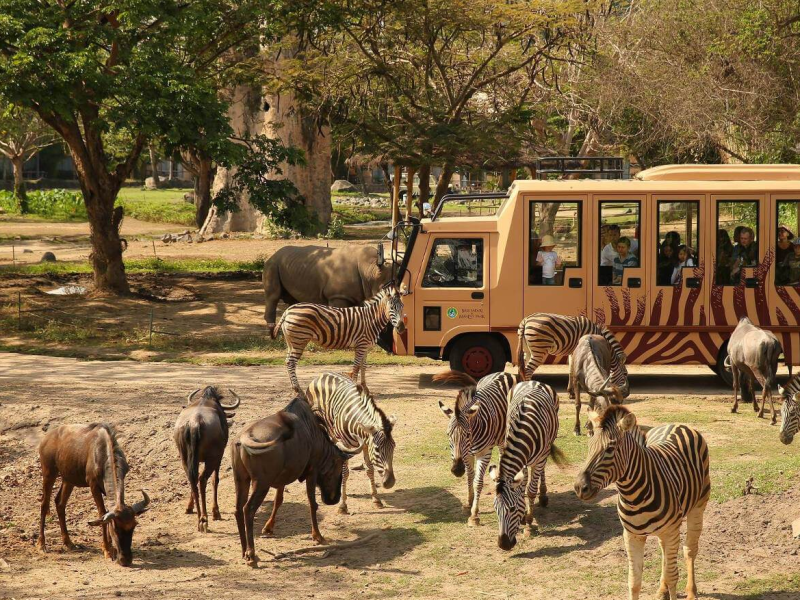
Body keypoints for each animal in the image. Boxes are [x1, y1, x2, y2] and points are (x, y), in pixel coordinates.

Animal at [273, 283, 405, 394]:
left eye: (402, 306)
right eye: (392, 308)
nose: (401, 327)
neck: (371, 319)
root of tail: (288, 310)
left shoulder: (365, 347)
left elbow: (363, 367)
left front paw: (365, 388)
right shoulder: (361, 344)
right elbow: (356, 367)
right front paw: (356, 389)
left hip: (291, 342)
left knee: (287, 361)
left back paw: (295, 388)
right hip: (299, 340)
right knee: (291, 362)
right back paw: (297, 390)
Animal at [434, 369, 515, 526]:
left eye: (467, 435)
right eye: (448, 435)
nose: (457, 470)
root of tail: (503, 372)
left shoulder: (484, 452)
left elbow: (478, 481)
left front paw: (474, 515)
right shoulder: (467, 454)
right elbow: (470, 476)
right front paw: (468, 503)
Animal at [488, 380, 562, 550]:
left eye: (512, 509)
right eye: (495, 509)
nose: (503, 545)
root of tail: (533, 381)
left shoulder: (540, 459)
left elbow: (531, 490)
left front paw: (528, 524)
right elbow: (522, 487)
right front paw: (524, 516)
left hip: (547, 447)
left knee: (541, 473)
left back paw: (543, 496)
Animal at [574, 406, 711, 600]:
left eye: (610, 448)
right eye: (589, 446)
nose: (579, 488)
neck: (634, 497)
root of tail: (677, 424)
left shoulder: (671, 531)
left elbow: (673, 576)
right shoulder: (632, 535)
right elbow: (634, 581)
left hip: (698, 506)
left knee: (689, 550)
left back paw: (691, 592)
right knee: (665, 552)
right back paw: (661, 590)